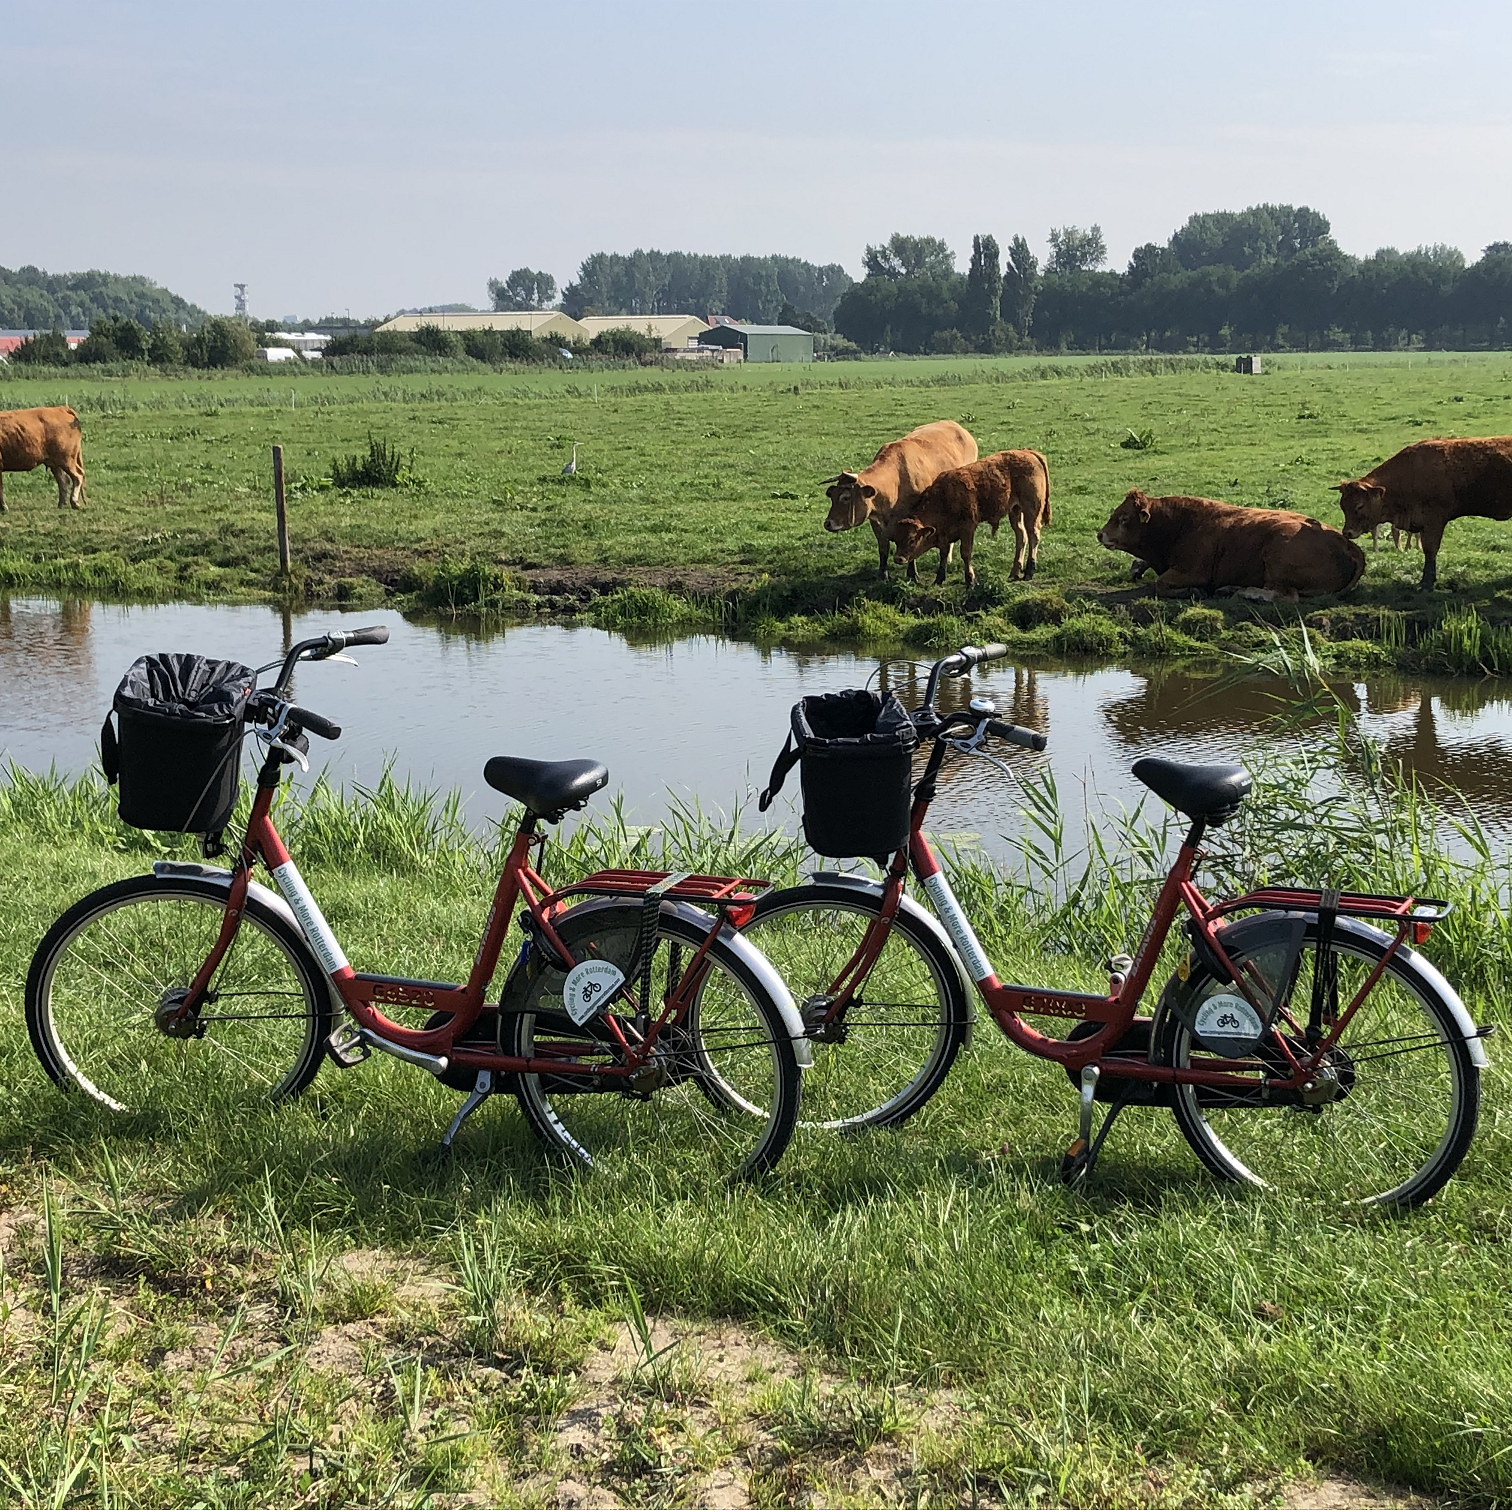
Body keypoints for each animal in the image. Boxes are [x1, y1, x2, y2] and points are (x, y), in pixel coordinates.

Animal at [822, 420, 973, 577]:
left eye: (845, 497)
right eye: (832, 496)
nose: (828, 523)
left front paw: (912, 574)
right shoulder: (875, 522)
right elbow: (883, 548)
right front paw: (882, 574)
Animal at [883, 444, 1052, 586]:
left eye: (912, 540)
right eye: (896, 539)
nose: (898, 558)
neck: (944, 498)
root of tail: (1028, 452)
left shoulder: (968, 528)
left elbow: (965, 553)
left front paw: (970, 579)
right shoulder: (944, 534)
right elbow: (943, 554)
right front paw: (939, 578)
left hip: (1031, 510)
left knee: (1033, 536)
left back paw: (1029, 572)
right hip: (1015, 510)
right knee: (1021, 536)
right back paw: (1014, 572)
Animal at [1100, 486, 1372, 598]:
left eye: (1123, 518)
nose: (1100, 534)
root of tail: (1348, 543)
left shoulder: (1193, 571)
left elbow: (1160, 584)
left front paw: (1193, 591)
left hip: (1277, 554)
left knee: (1284, 595)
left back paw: (1242, 591)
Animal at [1336, 438, 1512, 589]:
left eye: (1360, 505)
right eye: (1342, 505)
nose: (1347, 532)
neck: (1411, 474)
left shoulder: (1433, 521)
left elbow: (1430, 550)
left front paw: (1427, 583)